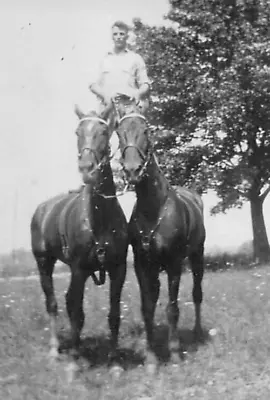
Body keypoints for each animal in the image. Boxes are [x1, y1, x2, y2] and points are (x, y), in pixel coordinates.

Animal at [30, 106, 129, 378]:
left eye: (104, 131)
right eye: (77, 131)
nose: (87, 168)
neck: (100, 217)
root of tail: (41, 209)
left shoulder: (118, 269)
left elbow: (114, 314)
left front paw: (115, 361)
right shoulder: (79, 270)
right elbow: (77, 314)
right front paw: (74, 364)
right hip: (44, 263)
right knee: (53, 303)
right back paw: (56, 350)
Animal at [115, 108, 206, 374]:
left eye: (146, 131)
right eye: (118, 132)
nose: (132, 170)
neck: (153, 209)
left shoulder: (174, 263)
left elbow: (172, 308)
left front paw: (174, 354)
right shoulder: (143, 265)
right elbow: (148, 308)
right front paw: (151, 357)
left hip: (197, 256)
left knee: (197, 293)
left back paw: (197, 332)